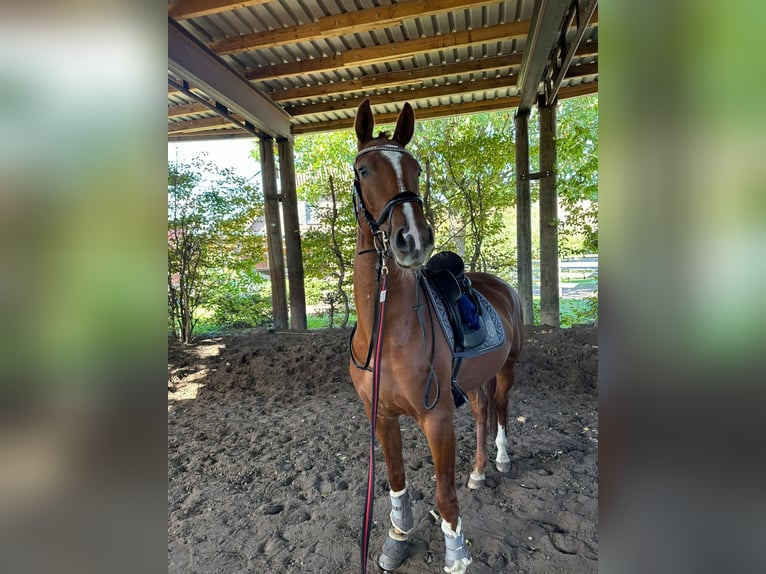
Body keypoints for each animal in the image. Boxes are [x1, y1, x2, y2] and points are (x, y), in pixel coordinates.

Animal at [352, 100, 524, 574]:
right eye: (363, 169)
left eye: (414, 167)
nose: (412, 238)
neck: (387, 333)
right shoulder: (382, 416)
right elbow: (396, 481)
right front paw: (397, 538)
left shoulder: (437, 418)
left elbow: (444, 494)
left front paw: (457, 555)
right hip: (476, 379)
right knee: (483, 413)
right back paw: (479, 471)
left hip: (507, 368)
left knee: (501, 409)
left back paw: (500, 459)